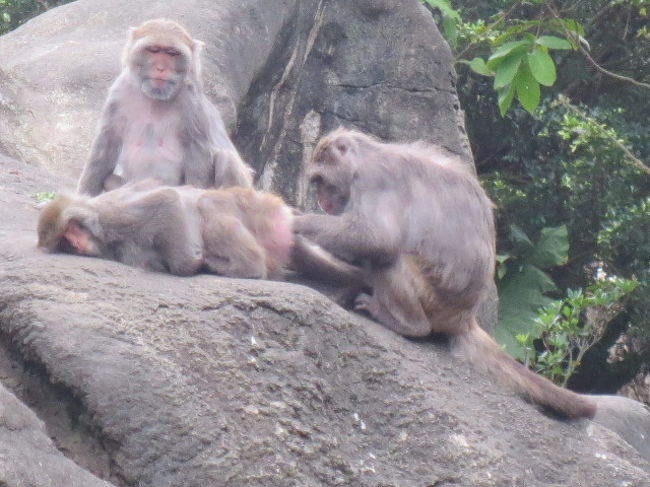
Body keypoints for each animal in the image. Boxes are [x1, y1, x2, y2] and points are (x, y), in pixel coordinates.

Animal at [39, 181, 292, 280]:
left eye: (71, 233)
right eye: (66, 242)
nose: (75, 245)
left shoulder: (115, 216)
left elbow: (167, 201)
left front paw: (191, 264)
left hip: (246, 209)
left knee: (208, 209)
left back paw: (246, 267)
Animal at [77, 19, 252, 196]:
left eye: (172, 53)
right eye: (153, 50)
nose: (161, 68)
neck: (154, 98)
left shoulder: (191, 102)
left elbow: (197, 153)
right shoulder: (118, 93)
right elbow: (105, 146)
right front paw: (84, 194)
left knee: (227, 158)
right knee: (111, 179)